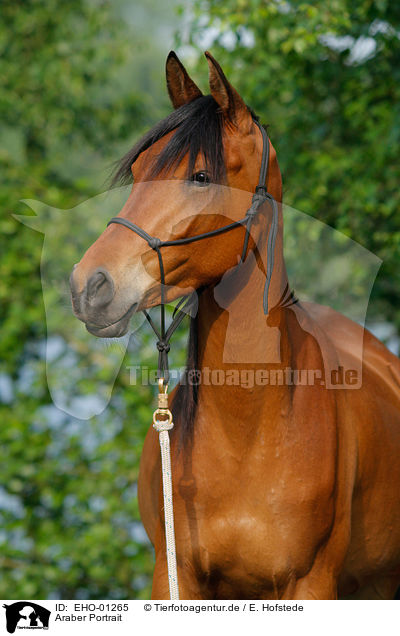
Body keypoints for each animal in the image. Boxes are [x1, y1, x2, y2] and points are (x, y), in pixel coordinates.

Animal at [70, 52, 400, 600]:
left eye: (202, 177)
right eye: (137, 171)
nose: (89, 285)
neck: (246, 434)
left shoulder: (311, 583)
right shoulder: (174, 579)